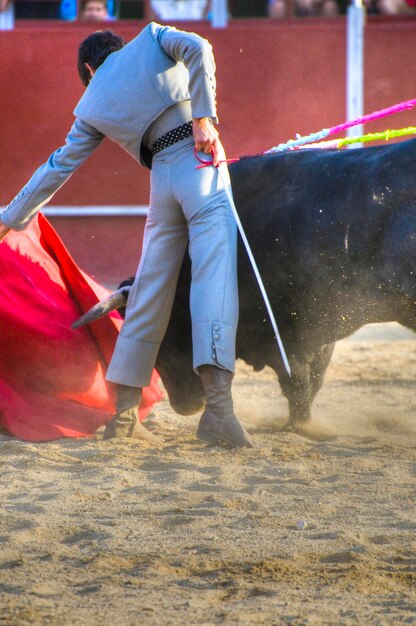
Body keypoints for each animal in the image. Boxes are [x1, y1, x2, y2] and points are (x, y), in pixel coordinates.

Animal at [124, 140, 416, 426]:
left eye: (164, 339)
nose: (184, 406)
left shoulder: (286, 333)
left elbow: (297, 383)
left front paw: (300, 426)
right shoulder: (319, 330)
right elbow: (314, 378)